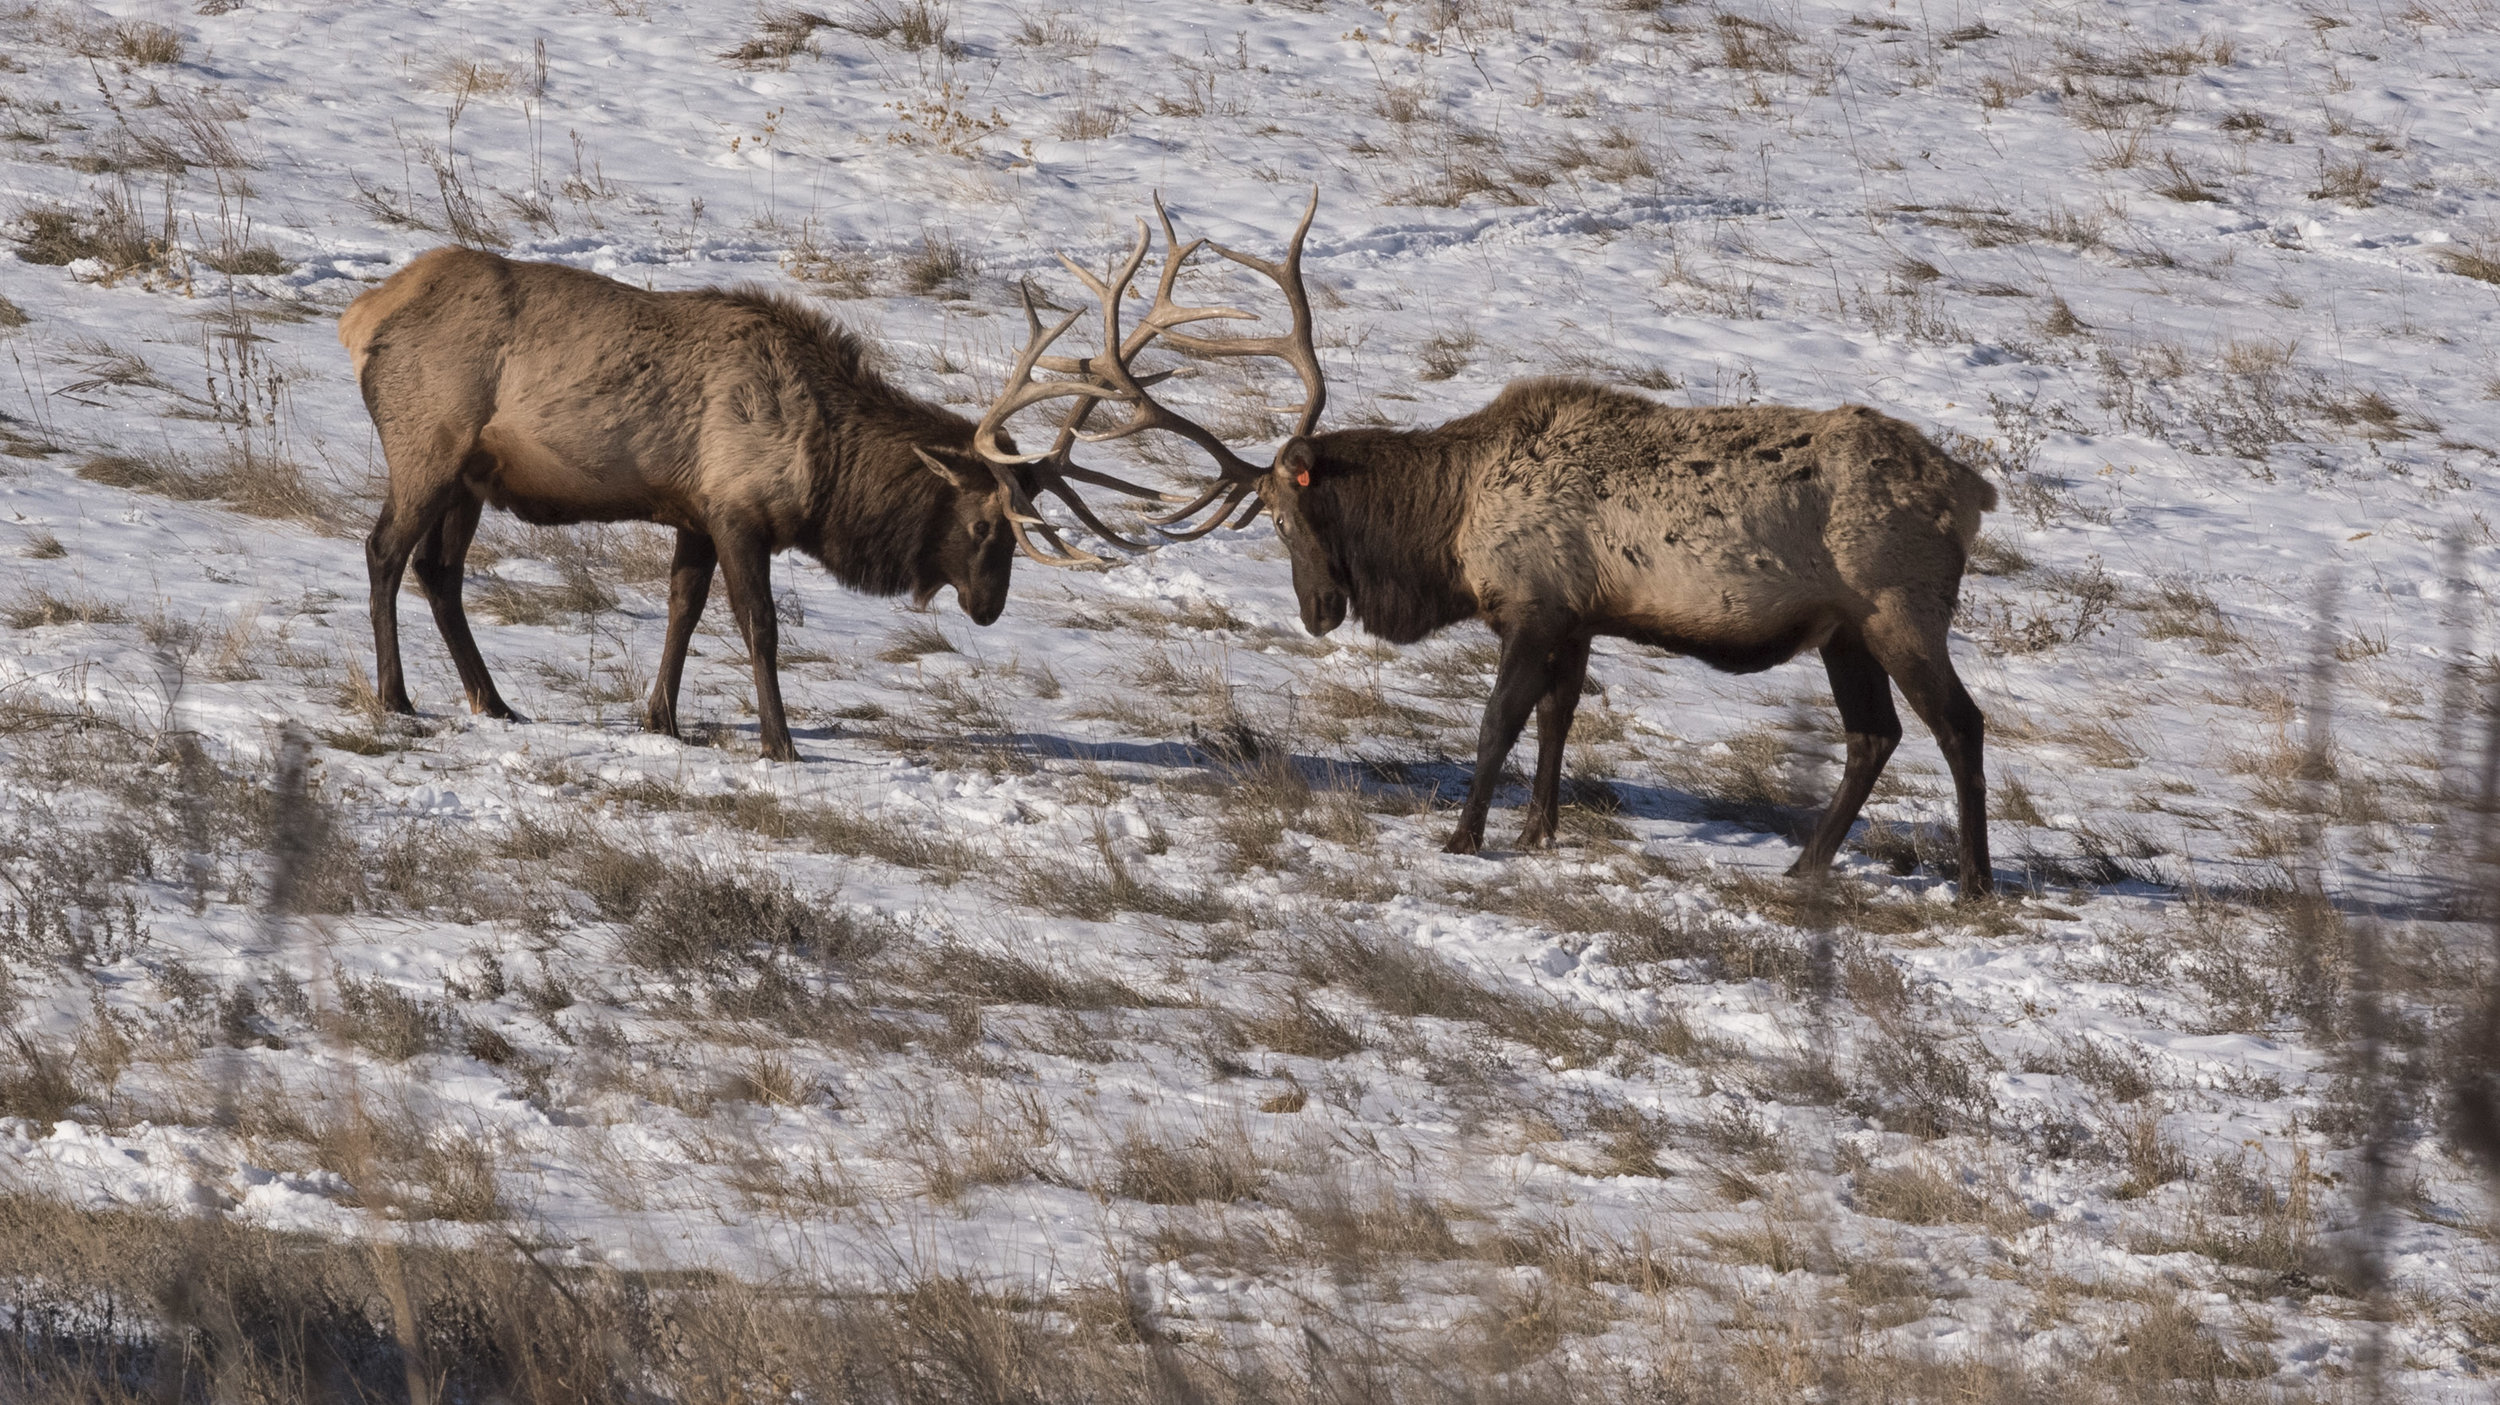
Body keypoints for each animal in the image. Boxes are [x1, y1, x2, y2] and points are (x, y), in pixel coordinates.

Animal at [337, 246, 1165, 760]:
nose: (989, 605)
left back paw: (495, 701)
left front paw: (662, 719)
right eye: (988, 521)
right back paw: (397, 696)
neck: (828, 465)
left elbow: (682, 609)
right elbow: (759, 627)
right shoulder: (739, 513)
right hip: (427, 447)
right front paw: (780, 741)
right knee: (384, 551)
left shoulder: (694, 515)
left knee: (440, 572)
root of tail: (362, 315)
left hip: (471, 477)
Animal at [970, 192, 1990, 890]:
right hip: (1844, 629)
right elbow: (1558, 721)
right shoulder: (1577, 615)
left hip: (1899, 607)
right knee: (1873, 734)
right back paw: (1806, 864)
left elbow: (1499, 720)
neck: (1449, 525)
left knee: (1957, 723)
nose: (1317, 612)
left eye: (1293, 517)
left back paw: (1973, 880)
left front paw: (1464, 836)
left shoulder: (1534, 603)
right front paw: (1537, 832)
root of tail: (1973, 492)